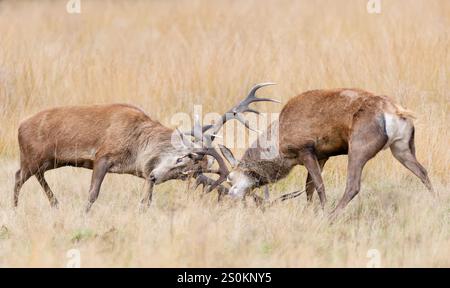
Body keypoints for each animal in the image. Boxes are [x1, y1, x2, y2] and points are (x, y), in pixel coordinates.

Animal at [198, 89, 436, 217]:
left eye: (230, 177)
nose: (230, 197)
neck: (279, 142)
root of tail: (397, 111)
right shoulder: (322, 156)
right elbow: (309, 188)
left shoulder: (306, 150)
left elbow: (319, 186)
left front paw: (321, 212)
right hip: (402, 147)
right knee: (423, 172)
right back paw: (438, 203)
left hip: (358, 147)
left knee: (353, 185)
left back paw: (331, 217)